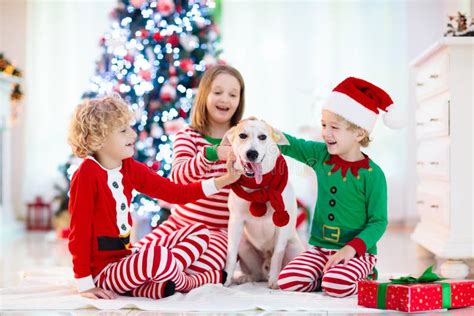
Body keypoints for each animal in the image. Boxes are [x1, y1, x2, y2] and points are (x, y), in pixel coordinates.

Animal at [221, 118, 304, 288]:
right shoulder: (236, 222)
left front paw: (274, 281)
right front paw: (226, 280)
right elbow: (231, 255)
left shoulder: (282, 225)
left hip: (293, 249)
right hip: (244, 244)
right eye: (242, 135)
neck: (258, 187)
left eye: (262, 137)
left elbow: (277, 255)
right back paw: (245, 278)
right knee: (257, 274)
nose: (252, 153)